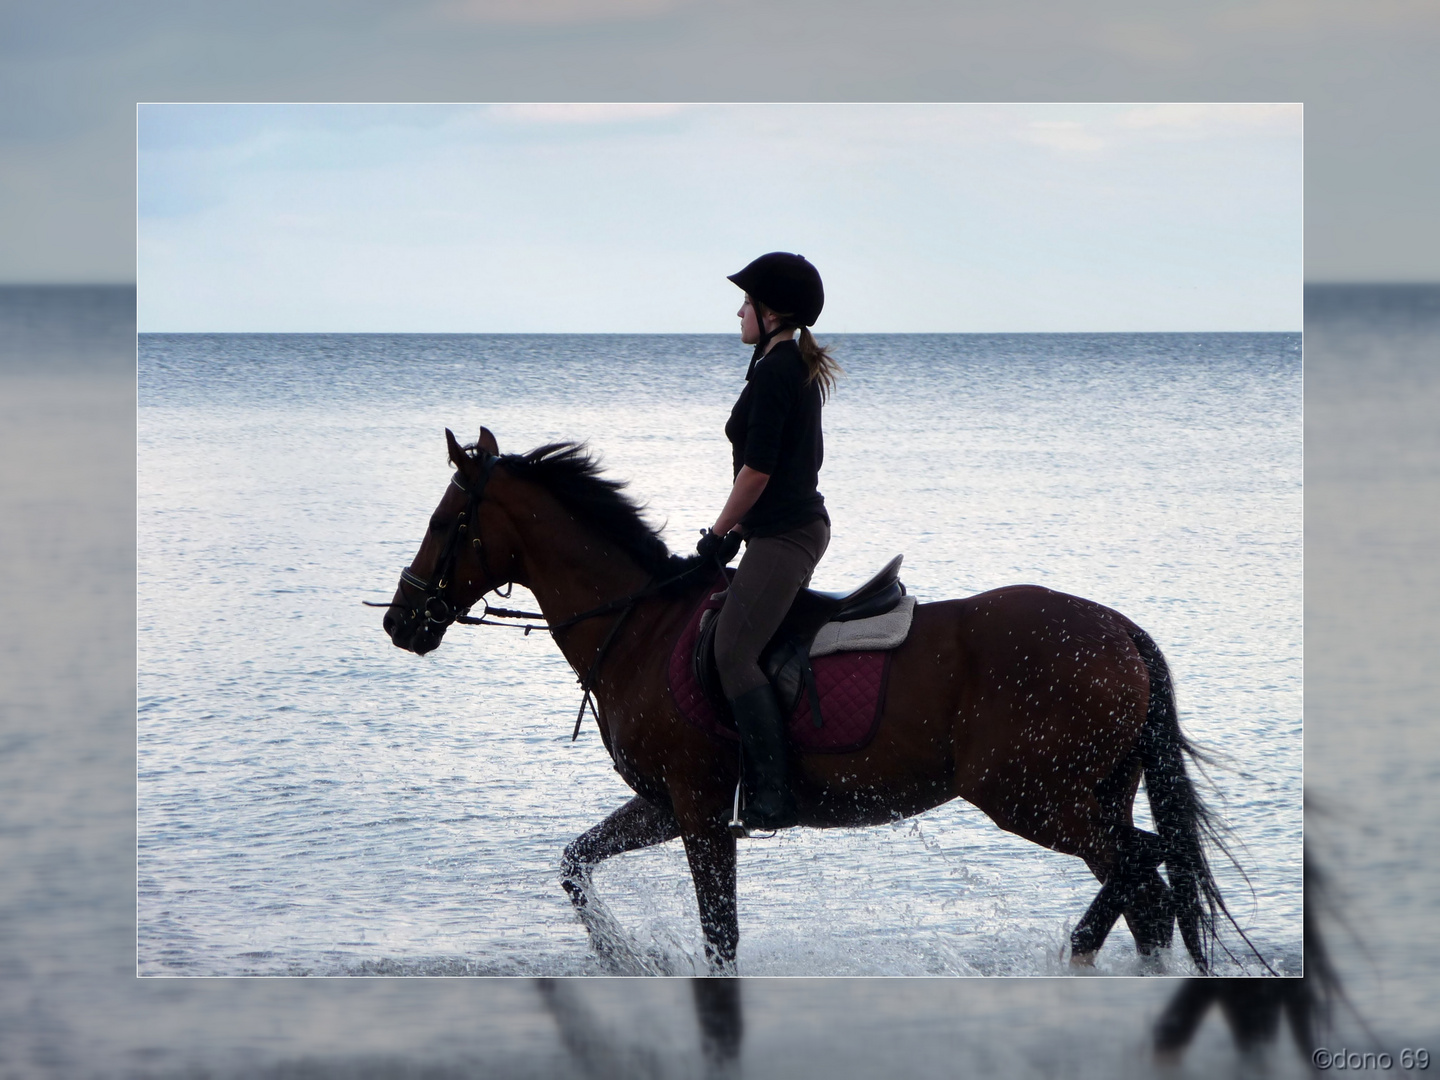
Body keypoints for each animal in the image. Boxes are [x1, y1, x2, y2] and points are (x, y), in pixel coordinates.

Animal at [380, 426, 1249, 979]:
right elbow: (574, 863)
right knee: (1147, 888)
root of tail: (1119, 630)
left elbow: (721, 933)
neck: (641, 624)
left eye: (444, 521)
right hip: (1088, 791)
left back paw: (1075, 953)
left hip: (1032, 795)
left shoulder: (699, 809)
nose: (400, 621)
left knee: (1142, 866)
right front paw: (627, 956)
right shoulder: (666, 804)